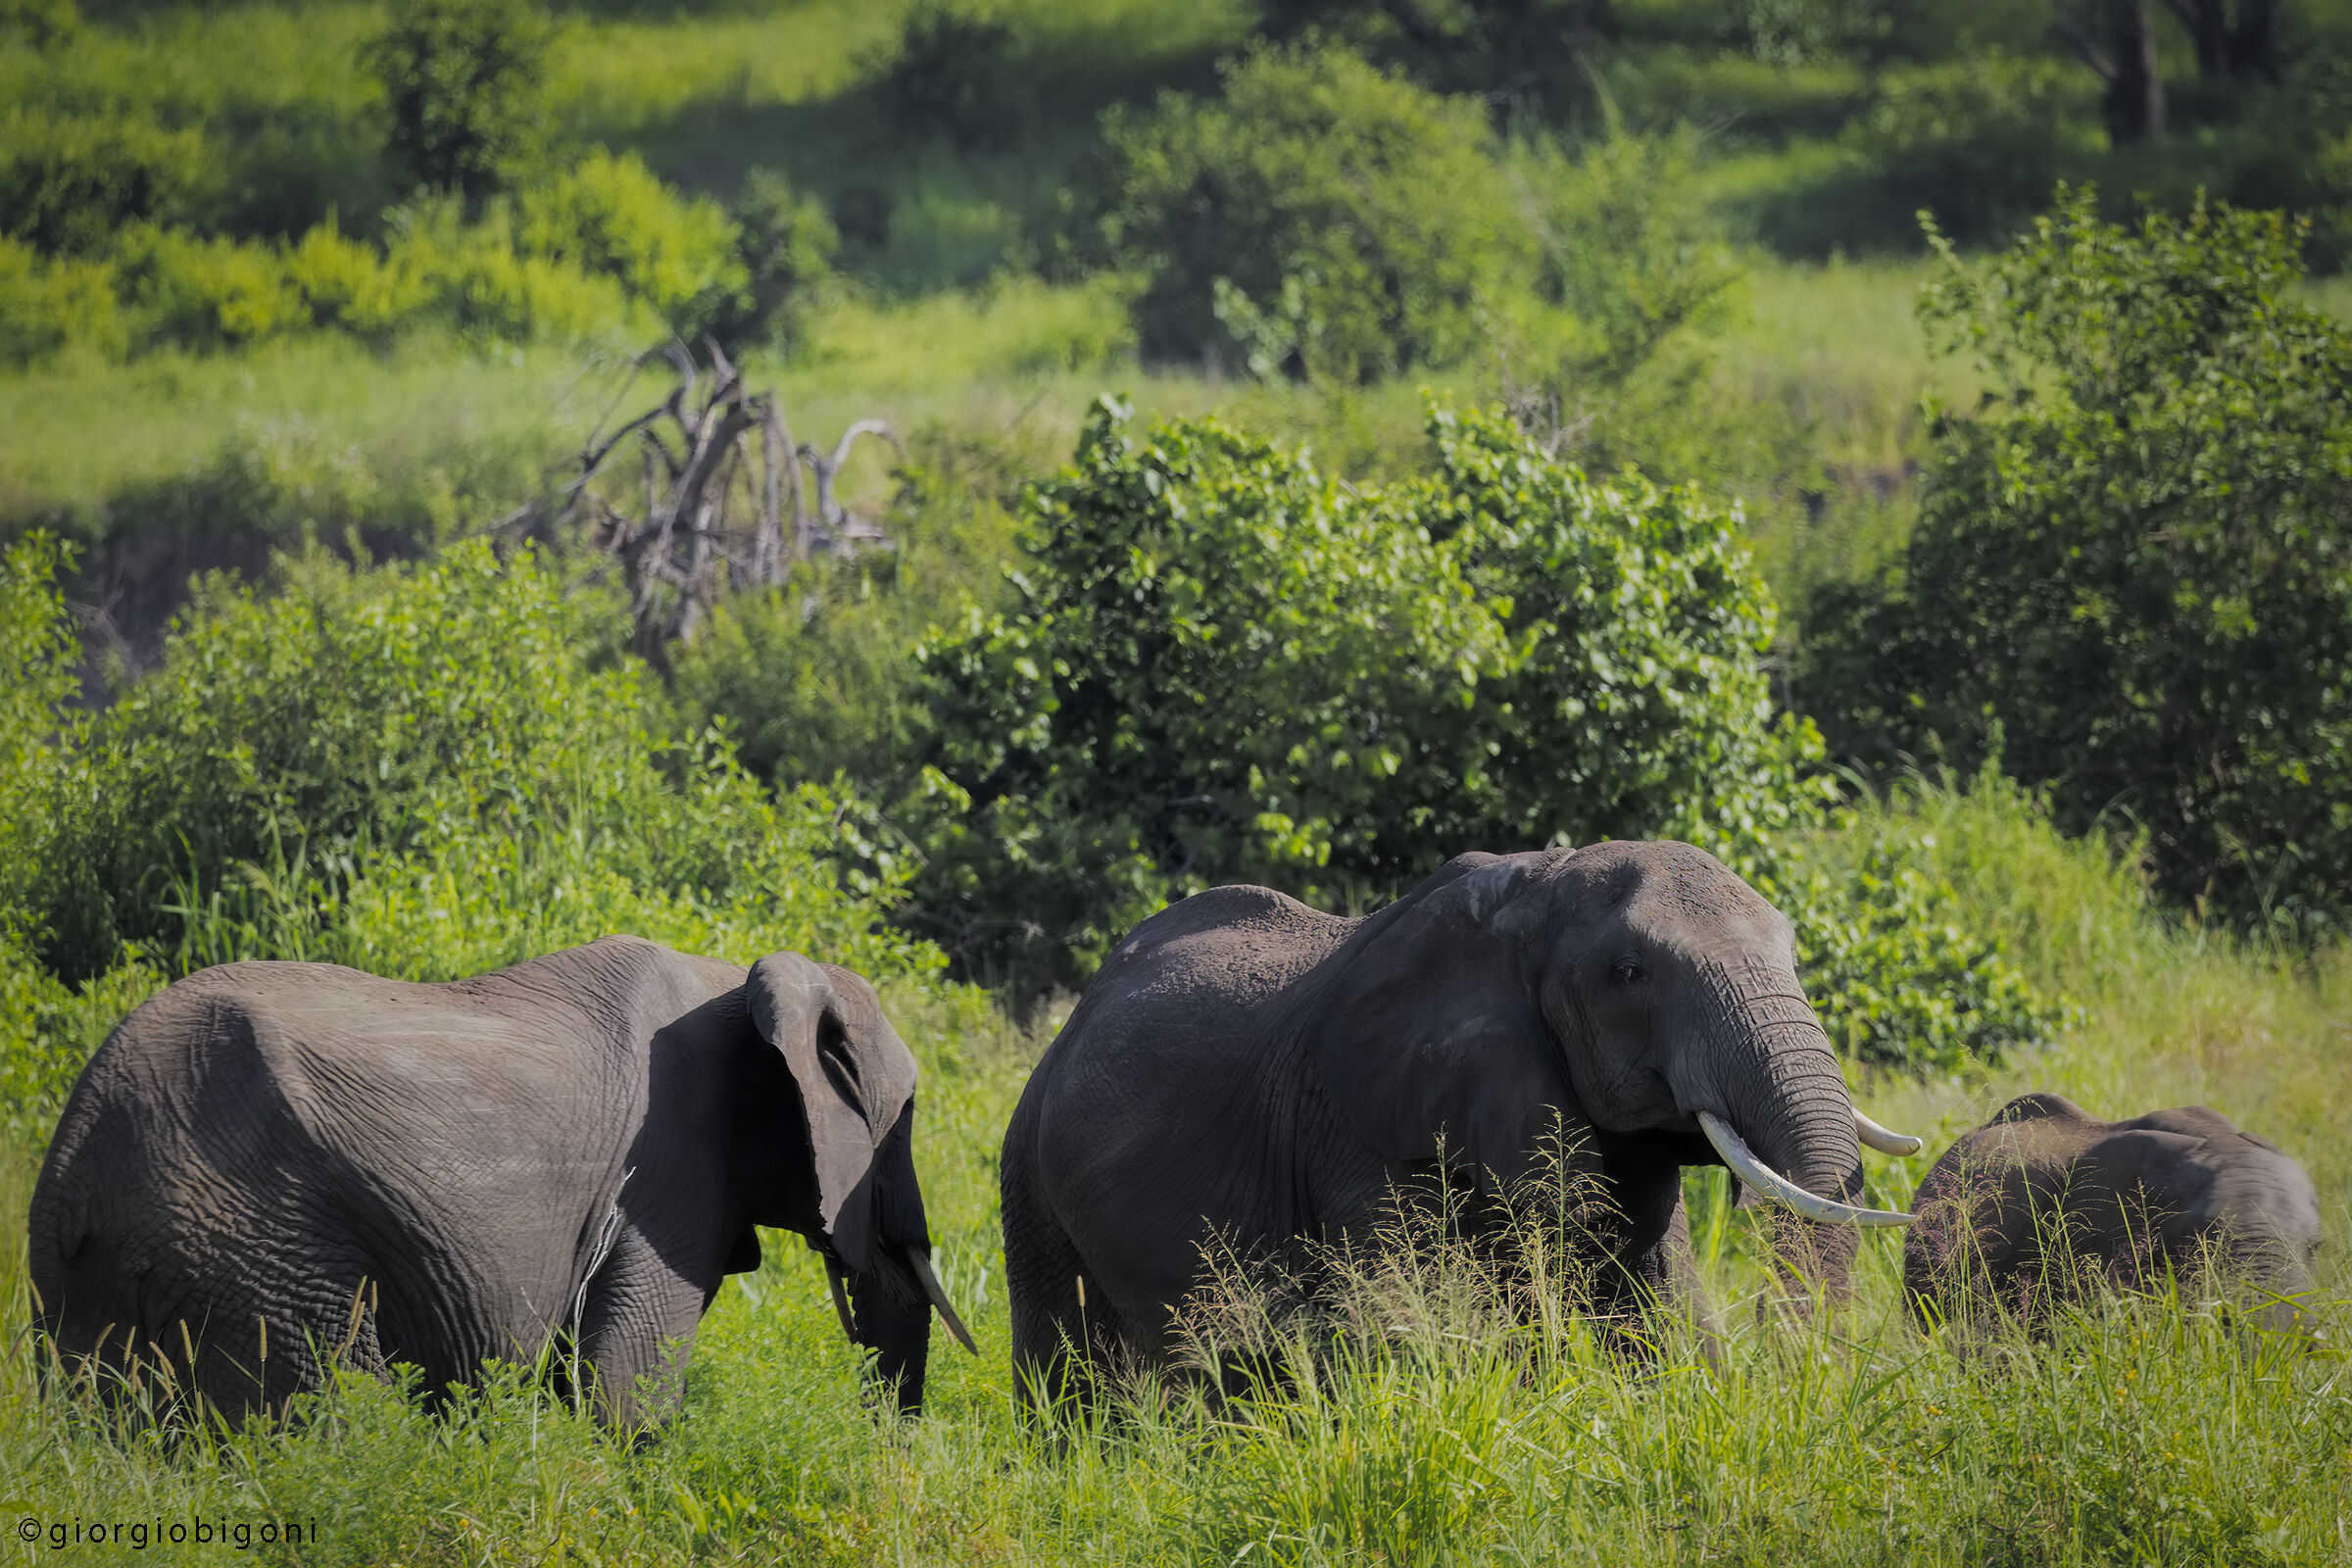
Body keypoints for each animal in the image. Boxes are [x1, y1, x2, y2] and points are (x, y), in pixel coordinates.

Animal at [29, 934, 974, 1426]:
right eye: (905, 1121)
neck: (736, 975)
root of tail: (73, 1170)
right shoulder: (670, 1171)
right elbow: (623, 1388)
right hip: (260, 1243)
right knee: (343, 1416)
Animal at [999, 842, 1921, 1400]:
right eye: (1631, 972)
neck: (1533, 890)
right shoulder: (1360, 1125)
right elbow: (1407, 1319)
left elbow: (1663, 1300)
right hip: (1026, 1176)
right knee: (1069, 1369)